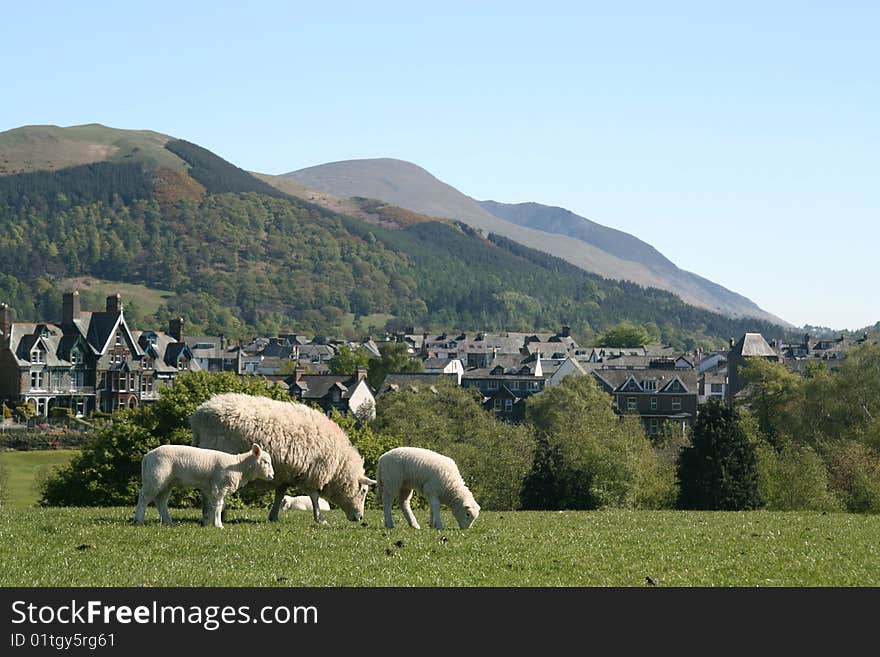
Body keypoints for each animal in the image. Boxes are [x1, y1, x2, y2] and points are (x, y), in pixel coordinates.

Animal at [131, 440, 272, 528]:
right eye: (265, 462)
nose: (272, 476)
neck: (239, 466)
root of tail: (147, 456)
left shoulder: (211, 488)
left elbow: (213, 506)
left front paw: (208, 522)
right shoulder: (219, 486)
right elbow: (219, 506)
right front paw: (219, 525)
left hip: (166, 482)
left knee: (161, 501)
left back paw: (168, 522)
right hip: (155, 477)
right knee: (143, 497)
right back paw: (138, 520)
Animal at [189, 392, 374, 524]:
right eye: (363, 491)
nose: (360, 518)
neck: (339, 466)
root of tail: (199, 416)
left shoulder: (286, 474)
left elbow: (280, 494)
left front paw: (274, 516)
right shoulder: (312, 473)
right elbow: (314, 497)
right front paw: (320, 519)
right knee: (208, 491)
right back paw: (209, 517)